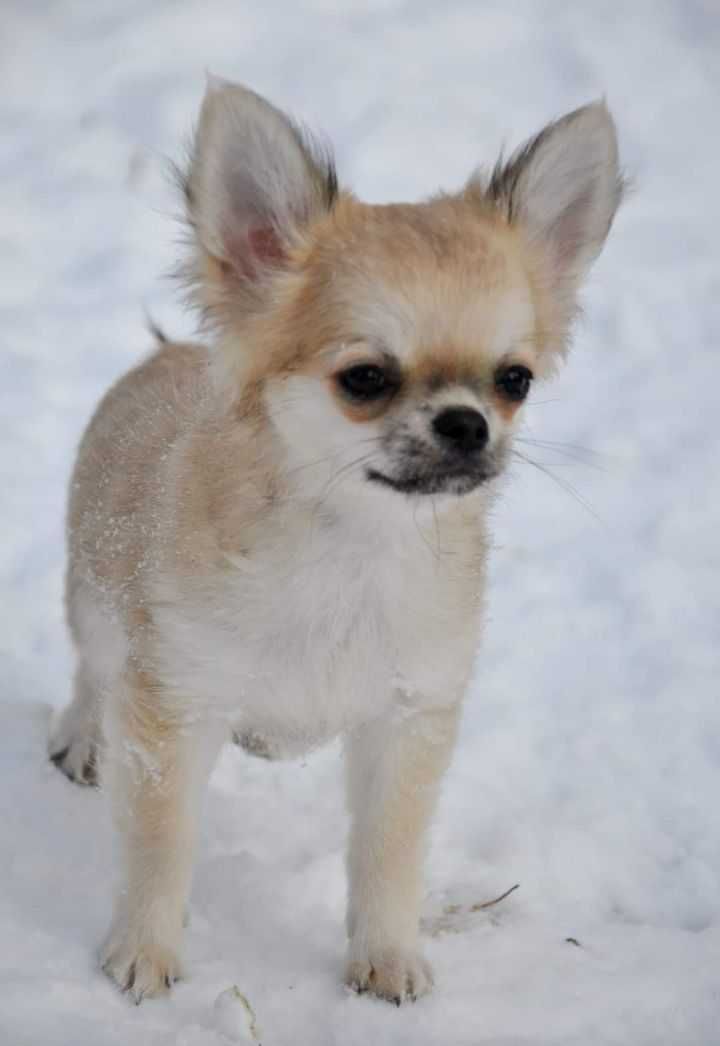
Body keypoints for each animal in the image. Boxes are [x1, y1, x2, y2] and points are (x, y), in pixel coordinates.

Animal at [50, 79, 619, 1004]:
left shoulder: (408, 720)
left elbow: (388, 858)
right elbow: (161, 848)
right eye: (365, 379)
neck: (353, 549)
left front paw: (385, 957)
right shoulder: (174, 703)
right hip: (99, 602)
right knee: (93, 670)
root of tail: (168, 355)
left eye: (515, 381)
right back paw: (82, 736)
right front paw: (145, 951)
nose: (467, 423)